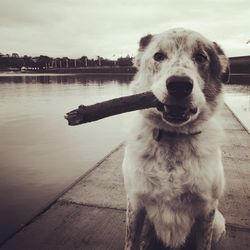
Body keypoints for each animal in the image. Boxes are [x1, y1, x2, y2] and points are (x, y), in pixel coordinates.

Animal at [122, 27, 229, 250]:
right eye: (158, 56)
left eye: (200, 57)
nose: (179, 85)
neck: (173, 137)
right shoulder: (135, 203)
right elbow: (131, 241)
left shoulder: (207, 209)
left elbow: (203, 242)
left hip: (218, 223)